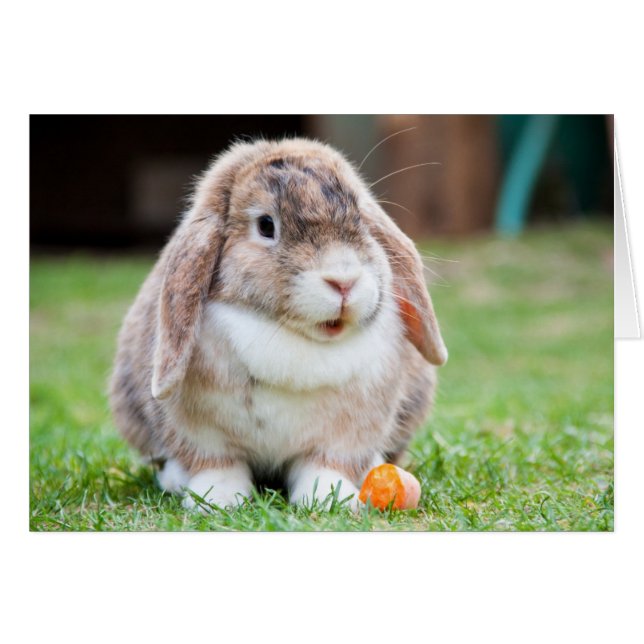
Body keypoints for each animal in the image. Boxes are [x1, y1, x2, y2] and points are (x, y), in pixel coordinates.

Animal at [109, 137, 447, 511]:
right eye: (266, 226)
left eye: (360, 217)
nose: (344, 281)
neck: (292, 337)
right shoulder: (202, 435)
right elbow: (218, 465)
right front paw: (218, 500)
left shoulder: (343, 437)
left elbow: (325, 466)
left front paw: (329, 499)